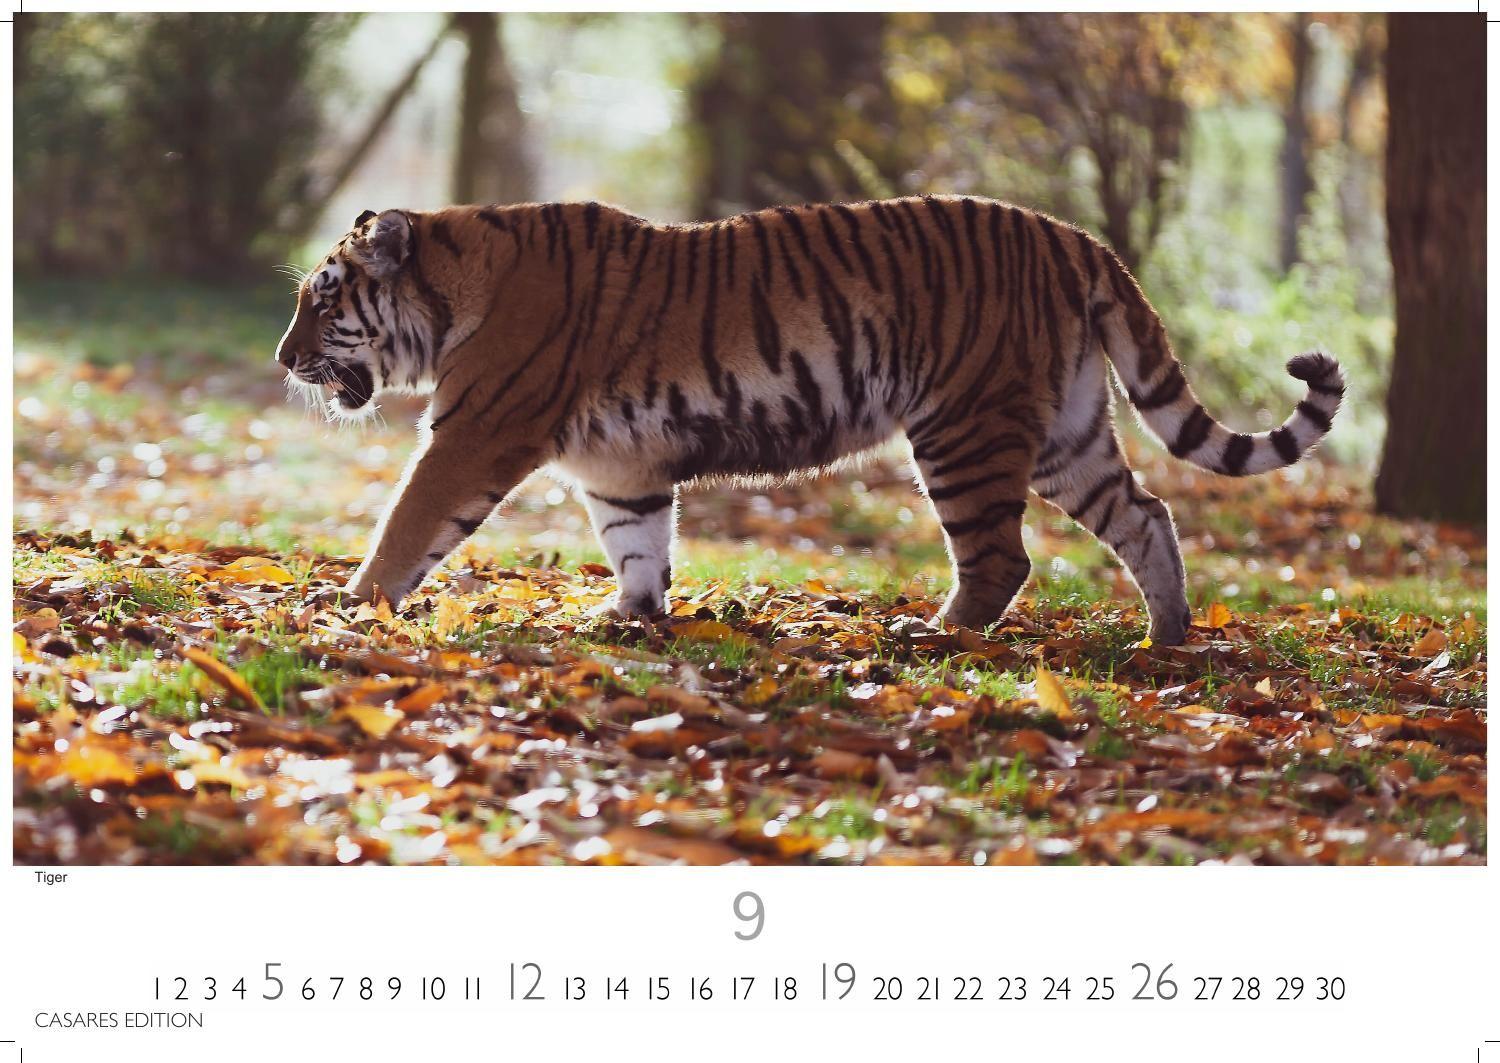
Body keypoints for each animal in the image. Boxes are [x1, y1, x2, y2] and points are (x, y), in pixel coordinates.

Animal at [273, 197, 1343, 645]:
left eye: (323, 301)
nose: (283, 361)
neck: (457, 283)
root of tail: (1073, 236)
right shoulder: (620, 467)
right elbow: (638, 542)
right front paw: (628, 616)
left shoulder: (474, 433)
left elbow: (407, 523)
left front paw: (351, 604)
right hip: (1066, 435)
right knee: (1148, 515)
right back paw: (1167, 638)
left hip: (964, 427)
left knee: (1002, 558)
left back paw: (934, 636)